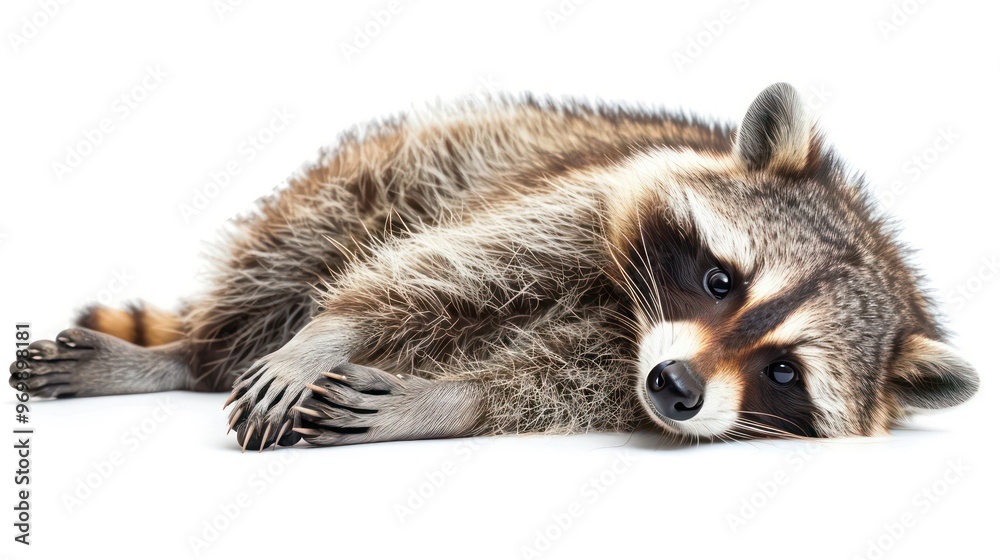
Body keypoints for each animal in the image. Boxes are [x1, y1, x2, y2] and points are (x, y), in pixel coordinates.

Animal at [10, 83, 978, 451]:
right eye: (720, 281)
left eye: (783, 371)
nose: (676, 387)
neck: (632, 319)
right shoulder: (583, 196)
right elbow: (451, 266)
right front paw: (330, 334)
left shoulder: (625, 367)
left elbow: (562, 384)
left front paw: (445, 401)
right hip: (417, 156)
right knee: (301, 247)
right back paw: (194, 354)